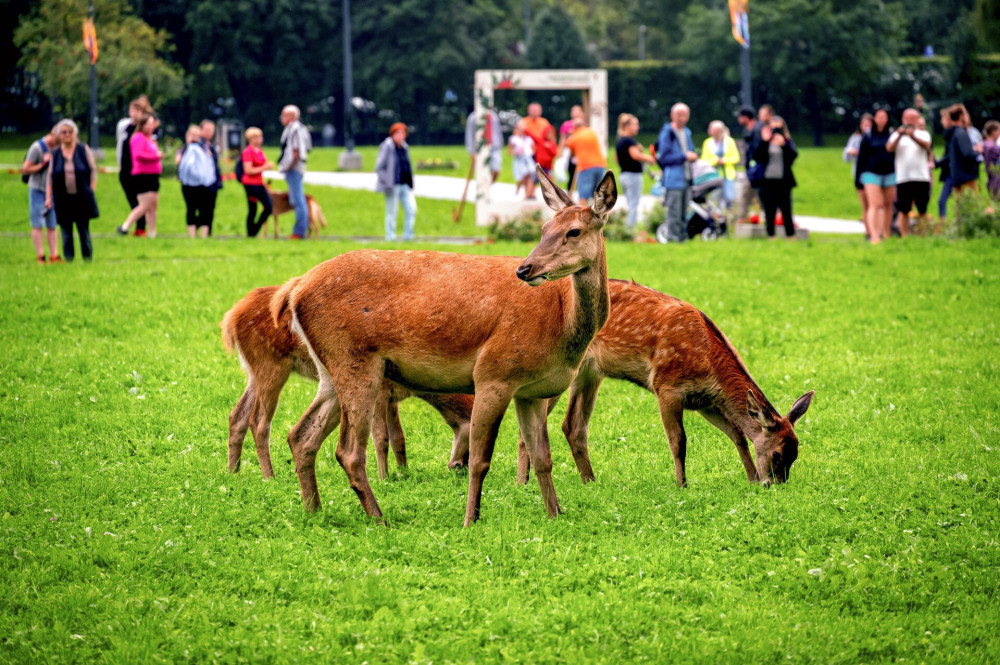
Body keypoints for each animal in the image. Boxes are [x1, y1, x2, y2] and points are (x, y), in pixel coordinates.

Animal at [218, 282, 472, 480]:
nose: (459, 467)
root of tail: (230, 318)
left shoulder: (392, 397)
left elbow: (399, 437)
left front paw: (404, 472)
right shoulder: (382, 389)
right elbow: (381, 437)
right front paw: (384, 478)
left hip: (254, 371)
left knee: (237, 415)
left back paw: (234, 472)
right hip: (271, 364)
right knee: (259, 420)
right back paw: (269, 476)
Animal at [274, 165, 616, 524]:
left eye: (573, 231)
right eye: (544, 229)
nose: (525, 268)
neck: (563, 324)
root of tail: (294, 290)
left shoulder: (532, 390)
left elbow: (542, 458)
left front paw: (554, 515)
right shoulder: (494, 373)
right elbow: (480, 460)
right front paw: (470, 521)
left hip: (329, 370)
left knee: (301, 436)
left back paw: (314, 511)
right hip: (355, 360)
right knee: (348, 451)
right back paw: (379, 519)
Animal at [508, 278, 812, 488]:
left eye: (795, 455)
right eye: (776, 455)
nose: (773, 485)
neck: (707, 359)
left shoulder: (705, 401)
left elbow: (737, 433)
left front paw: (750, 479)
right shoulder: (667, 386)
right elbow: (678, 441)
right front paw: (682, 485)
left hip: (590, 373)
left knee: (572, 425)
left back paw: (590, 482)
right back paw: (522, 483)